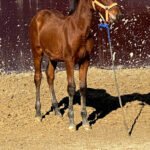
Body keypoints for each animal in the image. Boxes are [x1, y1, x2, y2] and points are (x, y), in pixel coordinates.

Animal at [29, 0, 120, 130]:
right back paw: (38, 114)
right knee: (38, 78)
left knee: (50, 76)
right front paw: (72, 123)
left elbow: (83, 87)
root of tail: (38, 15)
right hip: (37, 52)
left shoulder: (85, 61)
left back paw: (57, 111)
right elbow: (71, 88)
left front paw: (85, 122)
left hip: (53, 57)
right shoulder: (69, 61)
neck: (79, 29)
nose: (117, 14)